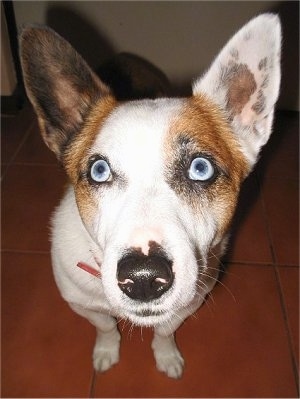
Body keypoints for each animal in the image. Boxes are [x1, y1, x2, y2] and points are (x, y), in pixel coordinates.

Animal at [20, 14, 282, 380]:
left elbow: (165, 330)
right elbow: (105, 325)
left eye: (200, 168)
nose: (143, 278)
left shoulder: (191, 300)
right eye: (99, 170)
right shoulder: (80, 302)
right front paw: (107, 350)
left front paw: (166, 355)